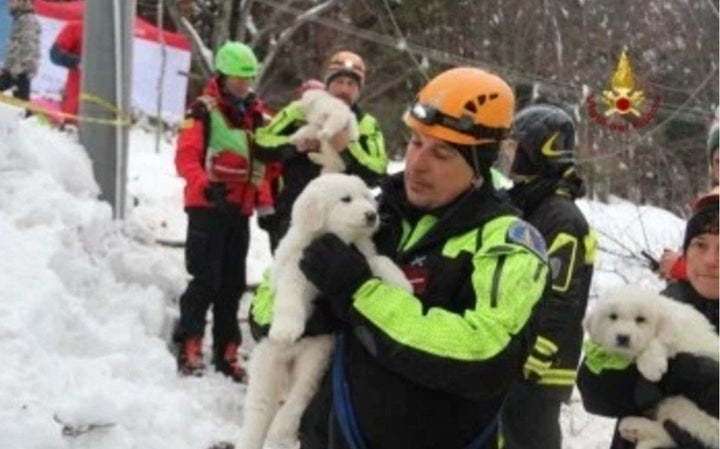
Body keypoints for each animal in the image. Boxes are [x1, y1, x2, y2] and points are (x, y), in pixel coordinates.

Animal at [239, 172, 410, 448]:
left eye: (367, 197)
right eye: (346, 200)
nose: (372, 215)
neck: (337, 239)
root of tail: (290, 359)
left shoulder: (360, 256)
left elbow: (380, 261)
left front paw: (402, 283)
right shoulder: (294, 266)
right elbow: (289, 296)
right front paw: (286, 330)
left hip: (316, 357)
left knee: (299, 396)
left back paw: (283, 431)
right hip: (267, 364)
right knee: (259, 411)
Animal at [584, 286, 716, 448]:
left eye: (641, 319)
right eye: (613, 316)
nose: (623, 337)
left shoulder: (679, 336)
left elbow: (657, 342)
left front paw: (652, 366)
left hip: (687, 407)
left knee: (670, 431)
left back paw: (634, 425)